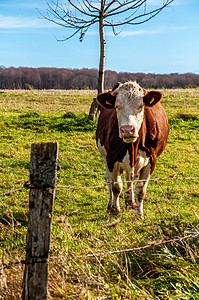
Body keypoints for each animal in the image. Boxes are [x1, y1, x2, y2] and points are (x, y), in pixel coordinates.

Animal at [96, 81, 169, 218]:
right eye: (117, 106)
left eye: (140, 106)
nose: (127, 130)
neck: (133, 147)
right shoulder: (111, 158)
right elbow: (116, 186)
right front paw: (115, 209)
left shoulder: (152, 160)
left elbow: (140, 189)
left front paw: (139, 214)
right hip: (105, 156)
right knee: (109, 179)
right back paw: (111, 204)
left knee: (130, 178)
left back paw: (130, 202)